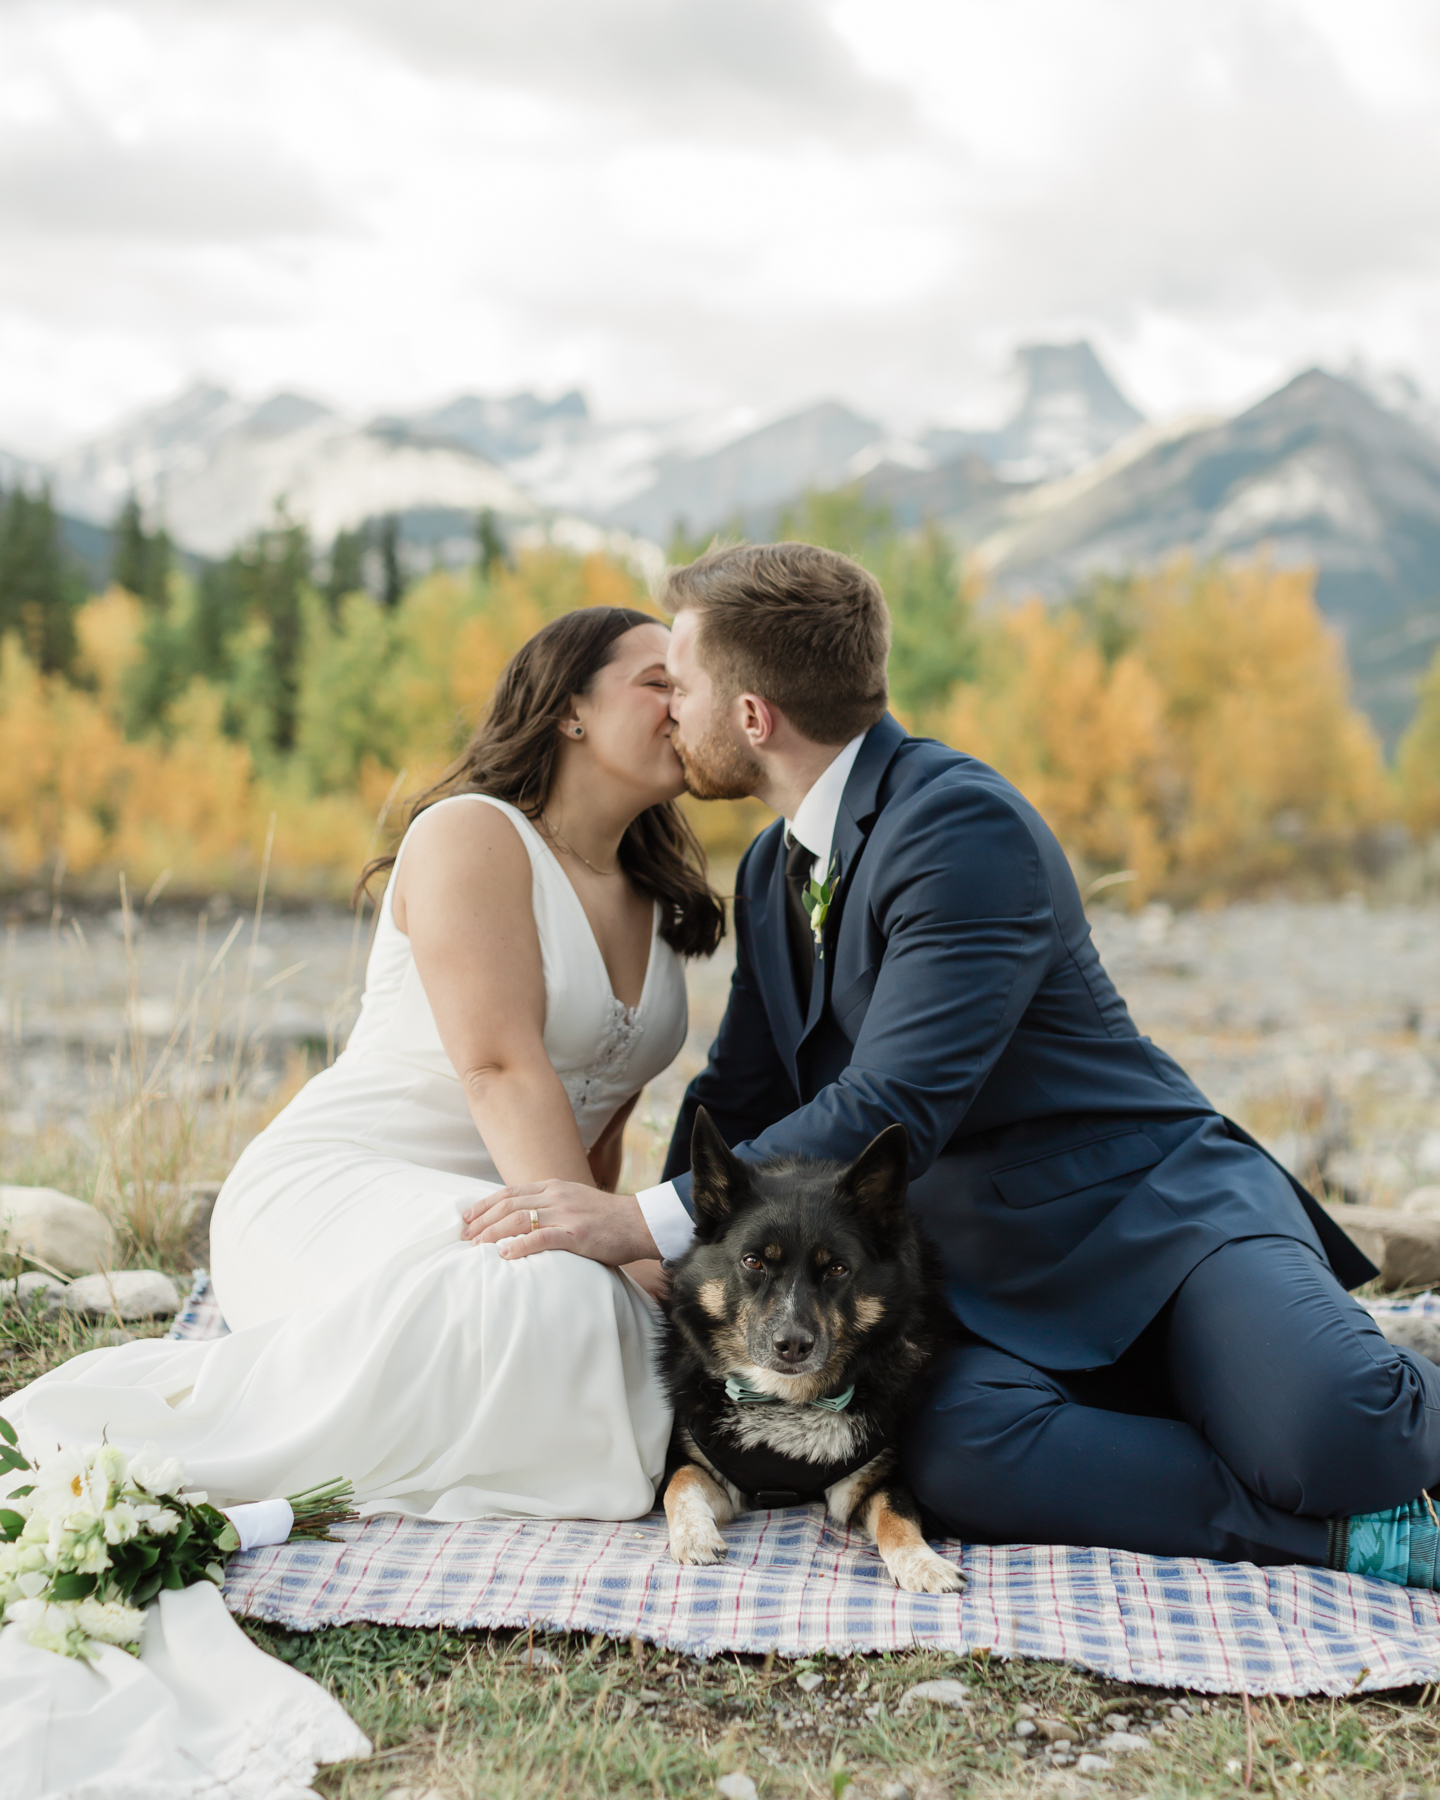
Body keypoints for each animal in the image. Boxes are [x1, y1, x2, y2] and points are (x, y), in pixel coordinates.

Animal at [658, 1116, 964, 1598]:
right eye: (753, 1262)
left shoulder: (872, 1479)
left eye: (837, 1268)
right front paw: (695, 1536)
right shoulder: (696, 1460)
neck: (786, 1399)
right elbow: (681, 1483)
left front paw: (924, 1563)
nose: (793, 1344)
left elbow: (897, 1515)